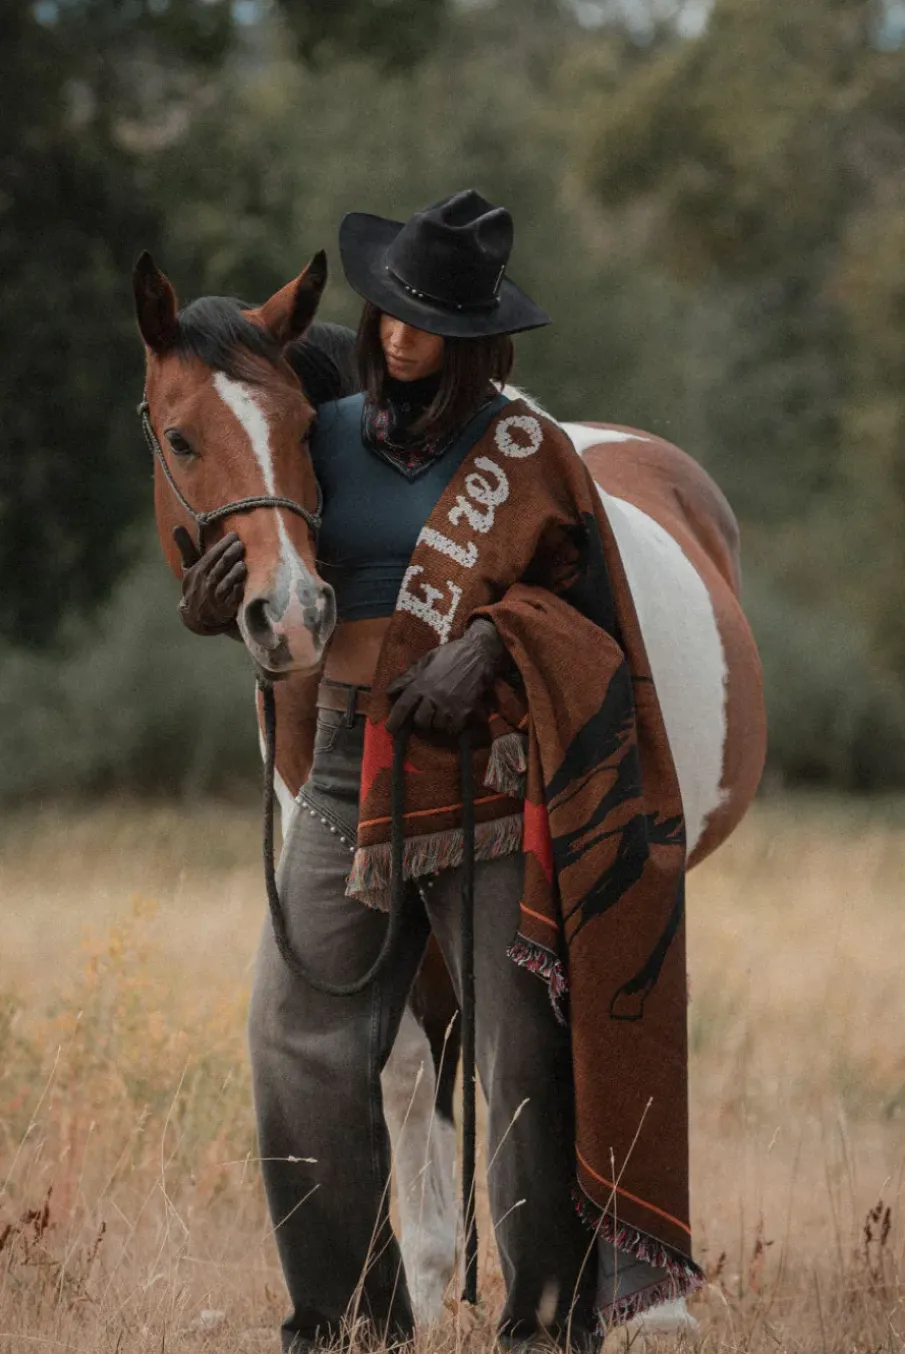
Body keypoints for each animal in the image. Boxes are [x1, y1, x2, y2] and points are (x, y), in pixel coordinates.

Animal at [132, 253, 766, 1329]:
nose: (289, 613)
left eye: (301, 431)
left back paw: (647, 1301)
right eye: (180, 435)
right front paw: (423, 1294)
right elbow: (401, 1065)